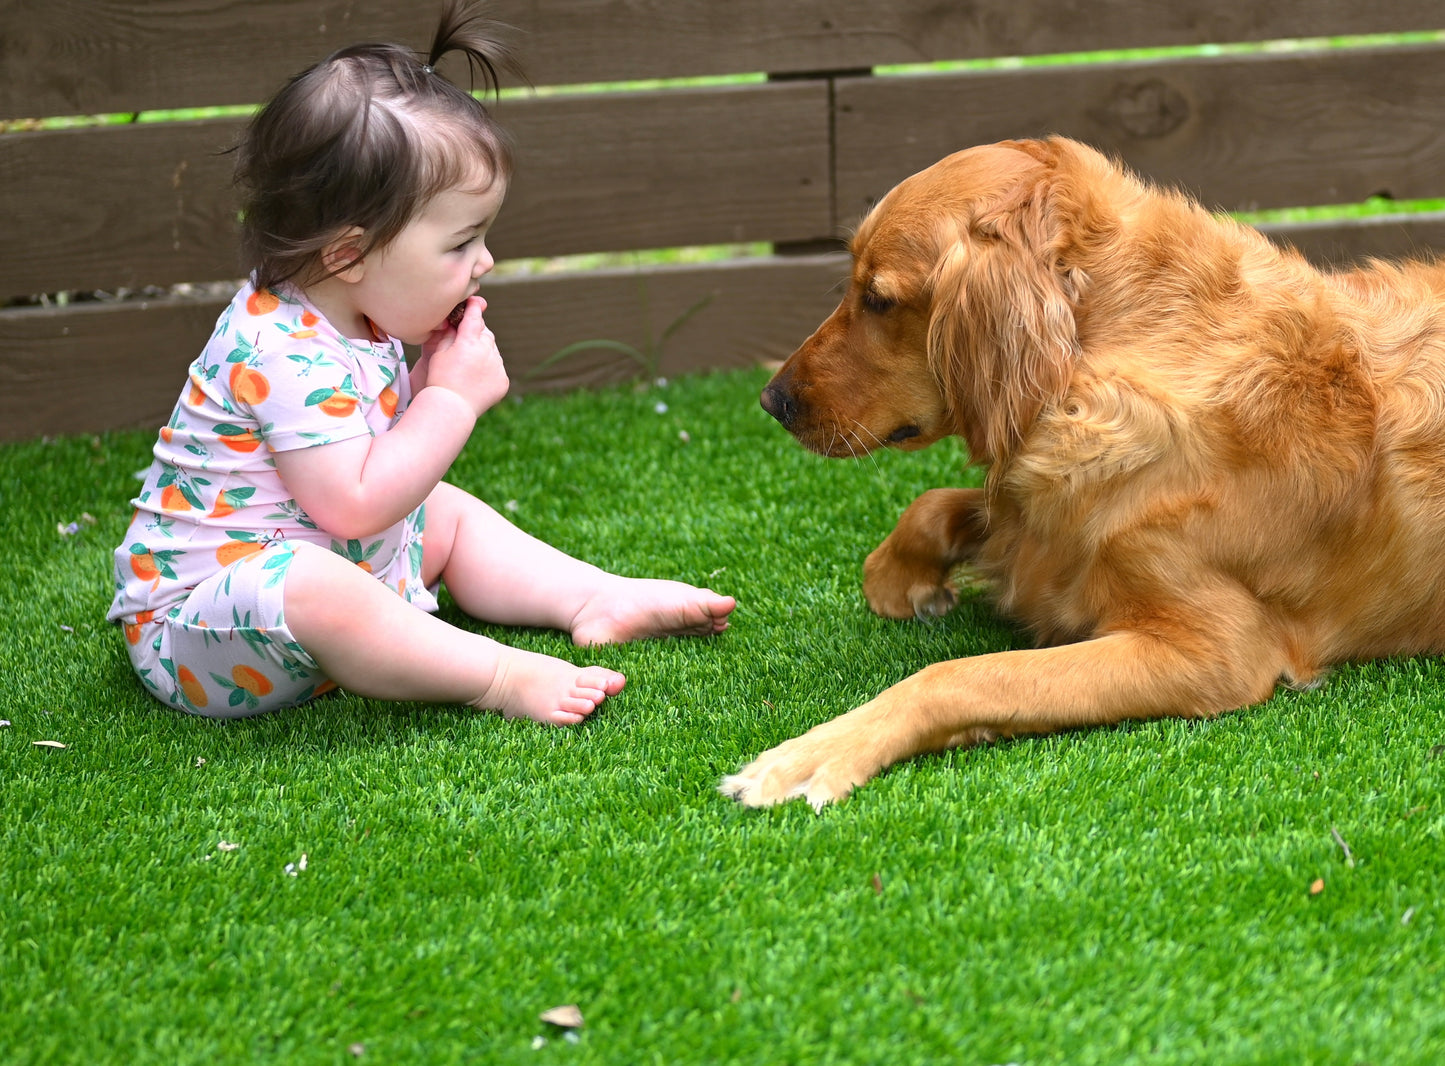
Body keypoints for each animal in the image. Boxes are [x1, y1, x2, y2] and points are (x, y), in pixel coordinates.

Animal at [722, 137, 1445, 808]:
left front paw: (817, 751)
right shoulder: (1040, 514)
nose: (770, 401)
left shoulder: (1219, 650)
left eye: (877, 299)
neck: (1102, 358)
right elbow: (942, 504)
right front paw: (901, 577)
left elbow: (965, 674)